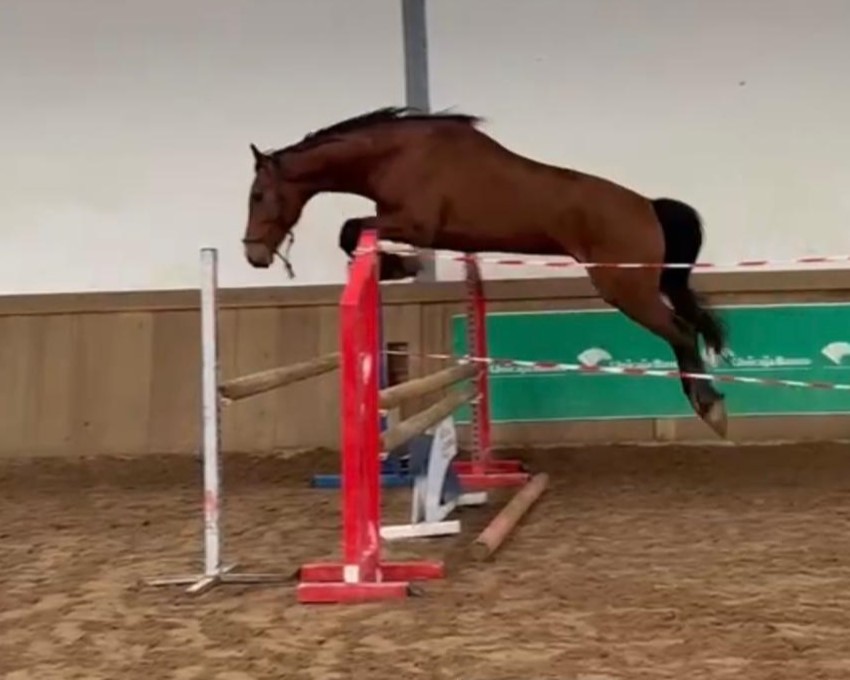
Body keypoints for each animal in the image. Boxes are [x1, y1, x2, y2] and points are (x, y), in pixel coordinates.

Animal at [241, 106, 729, 437]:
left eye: (258, 195)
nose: (254, 255)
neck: (395, 154)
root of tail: (649, 206)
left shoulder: (414, 223)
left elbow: (350, 229)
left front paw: (399, 265)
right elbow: (356, 231)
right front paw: (398, 265)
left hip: (625, 287)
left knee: (682, 332)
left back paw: (711, 409)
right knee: (687, 327)